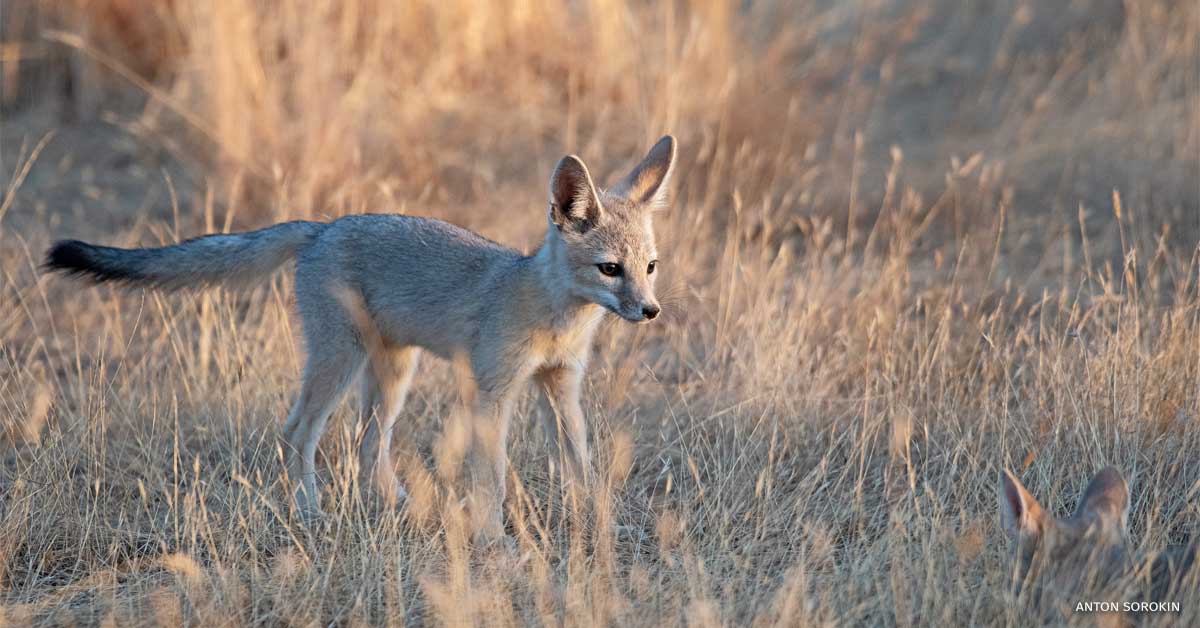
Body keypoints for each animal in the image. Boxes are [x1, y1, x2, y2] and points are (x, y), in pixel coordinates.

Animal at [45, 135, 678, 542]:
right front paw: (495, 542)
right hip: (341, 361)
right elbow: (492, 476)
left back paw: (406, 507)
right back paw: (311, 514)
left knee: (367, 443)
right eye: (609, 270)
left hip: (393, 374)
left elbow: (582, 466)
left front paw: (596, 525)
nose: (650, 311)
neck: (551, 312)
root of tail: (323, 227)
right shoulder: (491, 392)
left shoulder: (559, 386)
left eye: (649, 266)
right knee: (298, 431)